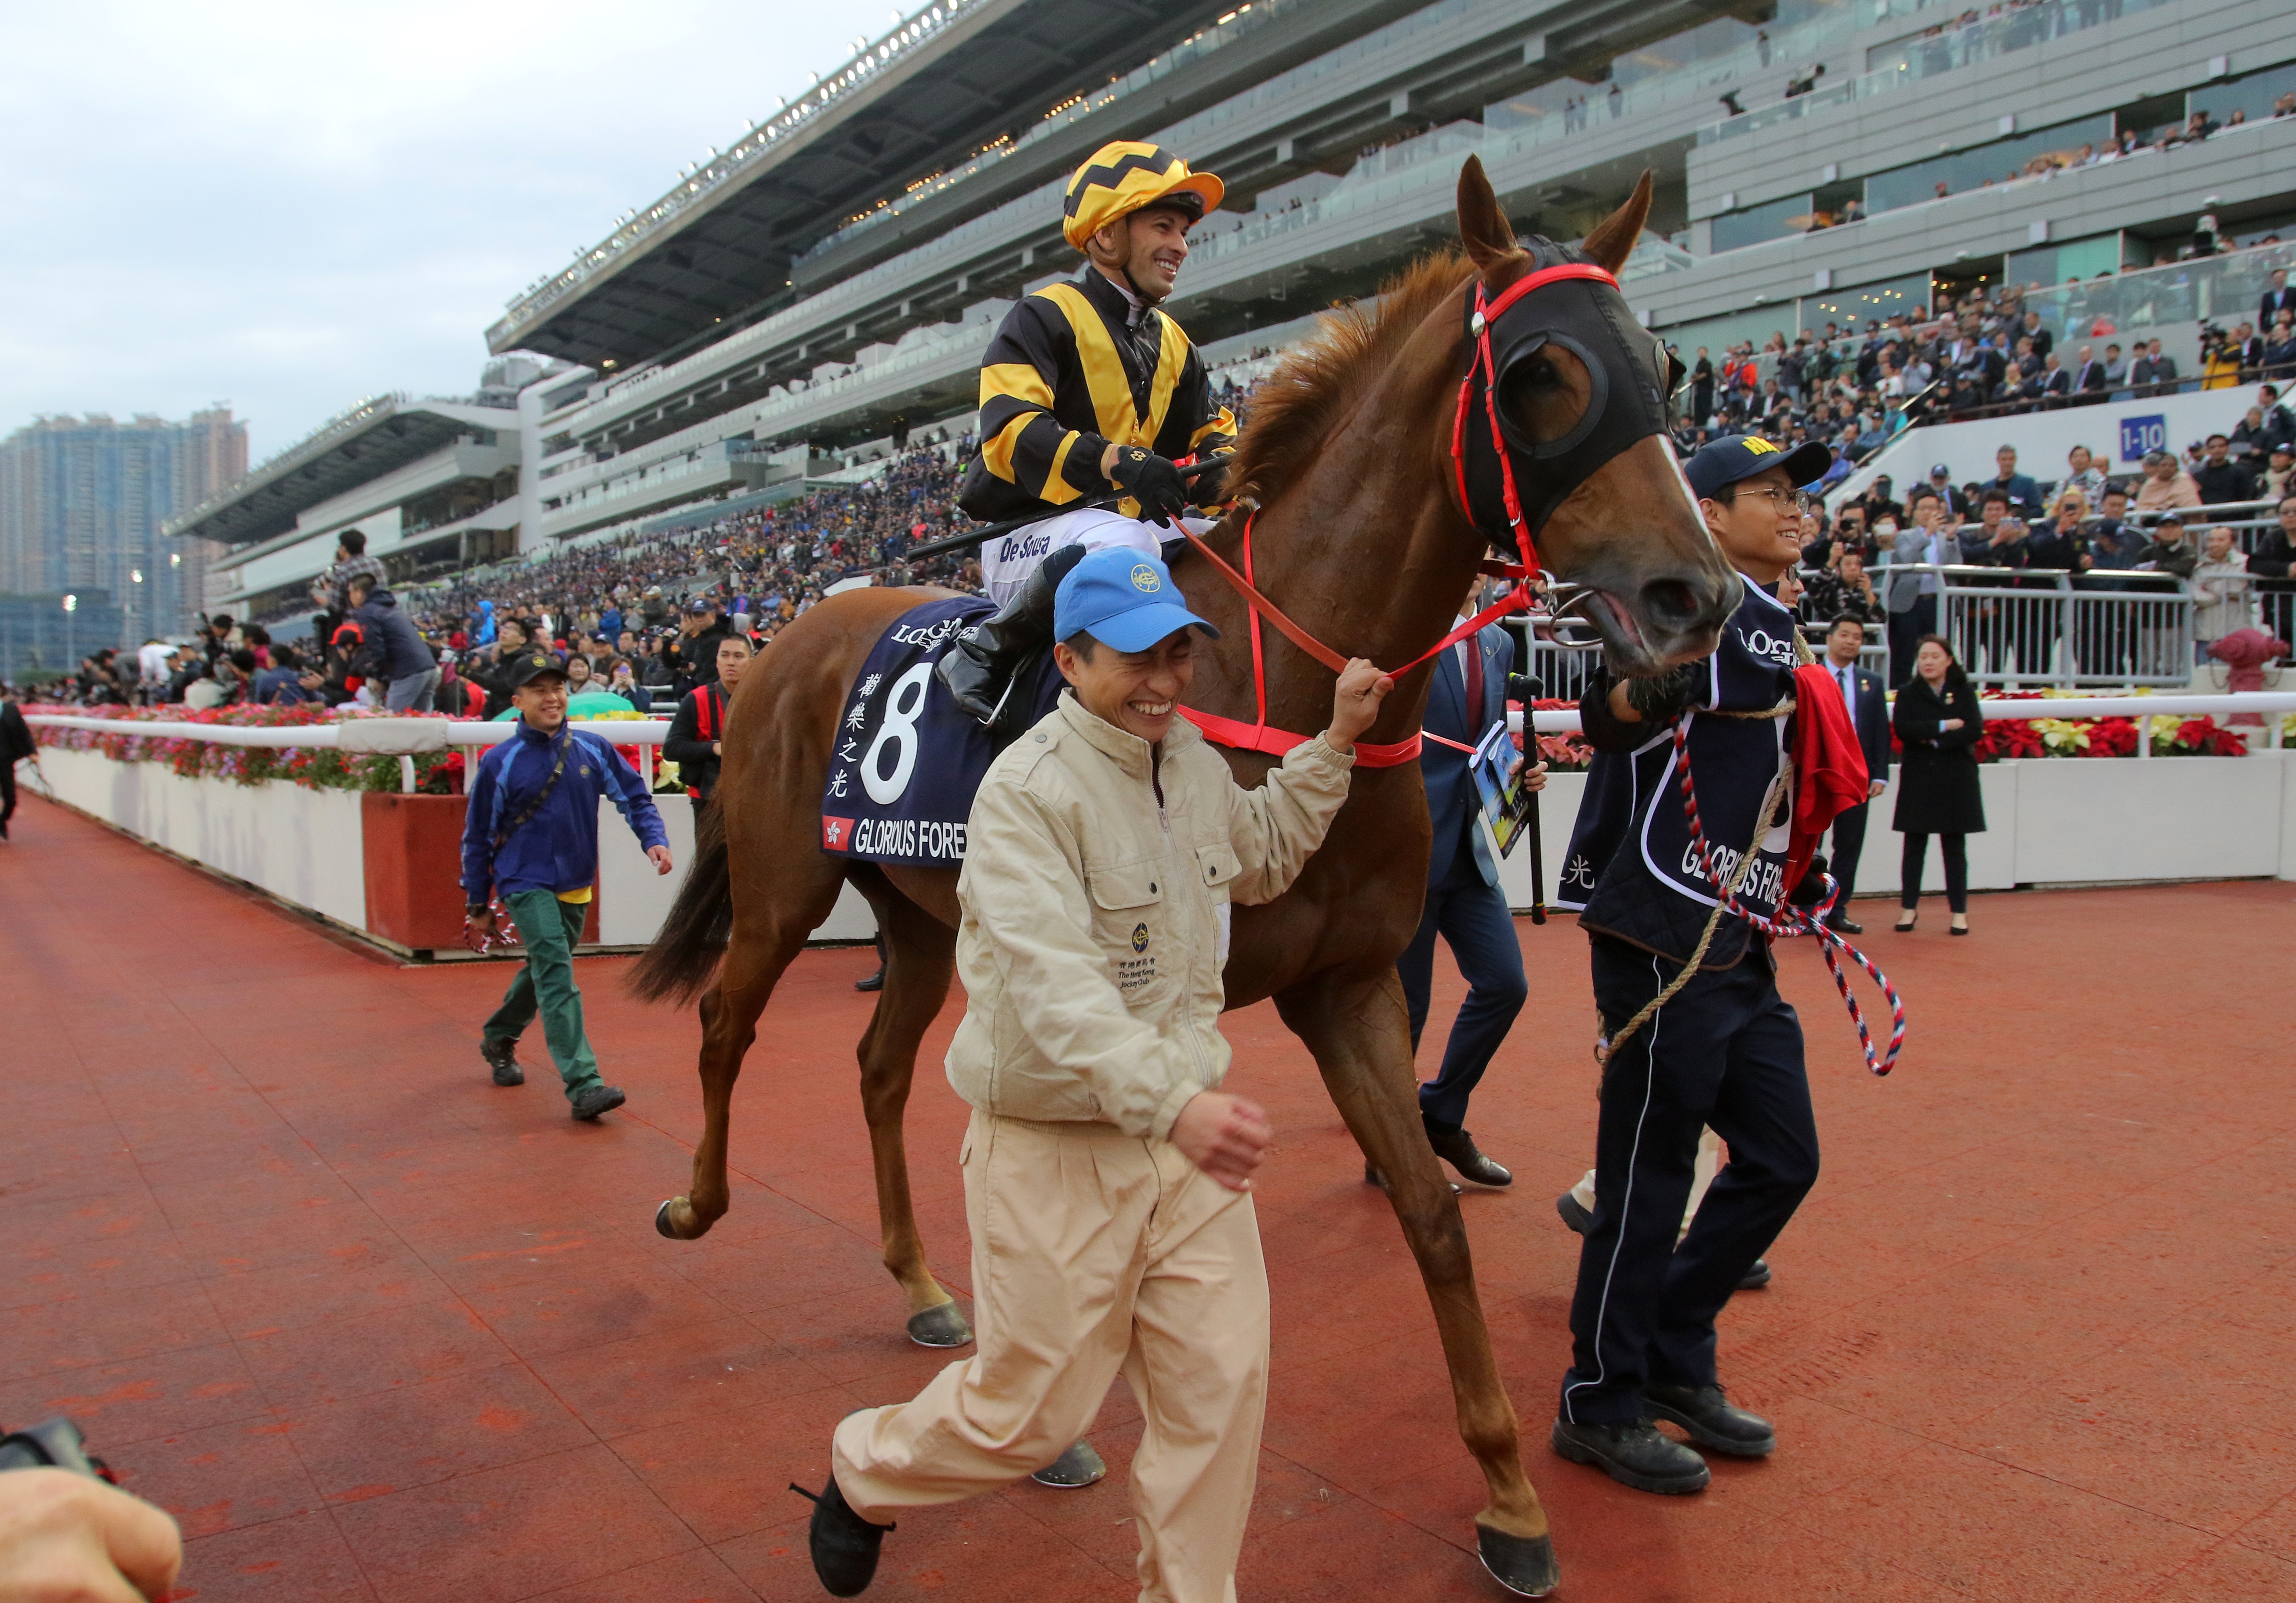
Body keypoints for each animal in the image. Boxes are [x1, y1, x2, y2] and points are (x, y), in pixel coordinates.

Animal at [629, 160, 1736, 1589]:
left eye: (1657, 361)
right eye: (1546, 372)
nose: (1694, 595)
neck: (1280, 679)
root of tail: (782, 635)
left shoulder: (1349, 985)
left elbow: (1430, 1214)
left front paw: (1507, 1495)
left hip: (921, 915)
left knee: (878, 1069)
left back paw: (926, 1286)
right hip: (782, 890)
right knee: (725, 1022)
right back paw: (698, 1204)